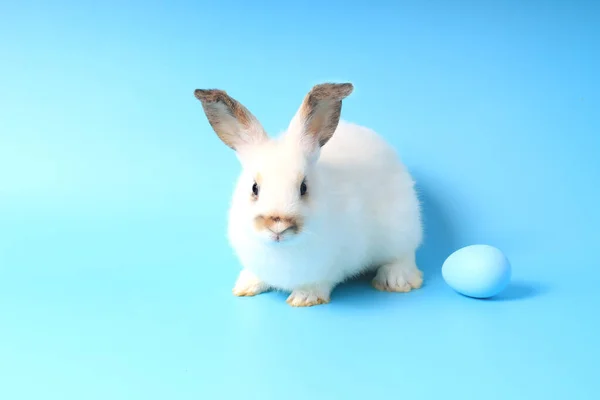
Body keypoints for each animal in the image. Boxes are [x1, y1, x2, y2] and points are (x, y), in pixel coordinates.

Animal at [196, 82, 422, 306]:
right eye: (254, 188)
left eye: (303, 187)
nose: (278, 227)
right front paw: (245, 286)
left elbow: (319, 282)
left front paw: (304, 297)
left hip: (401, 230)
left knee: (404, 255)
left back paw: (395, 280)